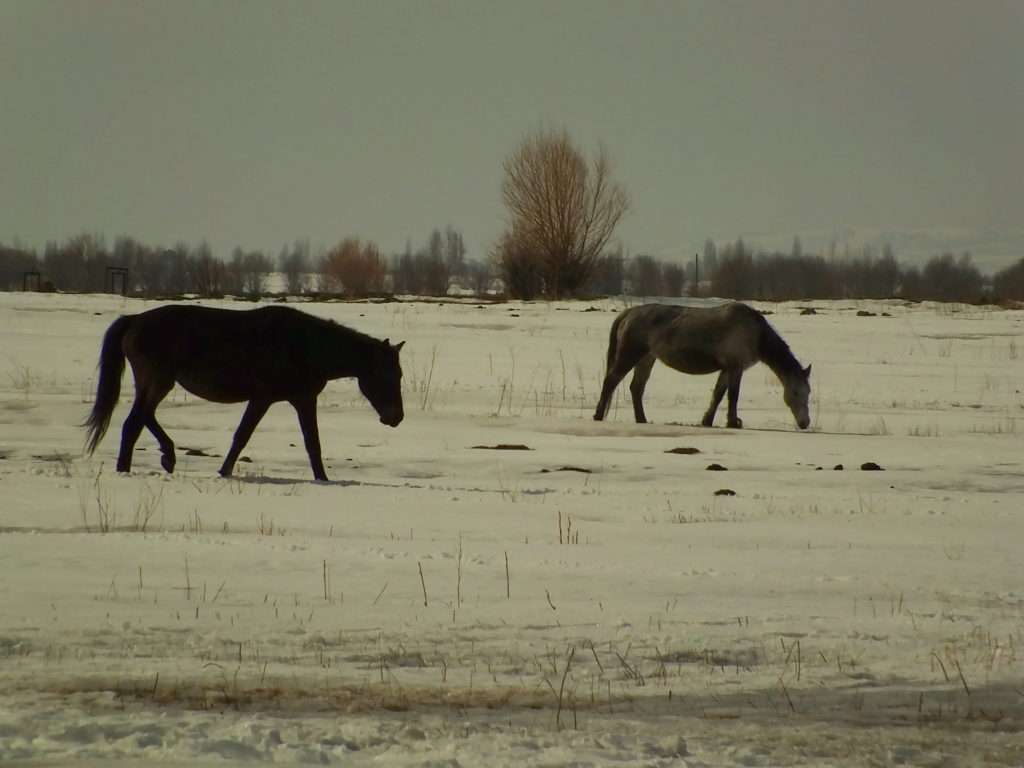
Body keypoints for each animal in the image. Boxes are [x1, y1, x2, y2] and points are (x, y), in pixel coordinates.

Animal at [84, 305, 403, 481]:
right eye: (388, 375)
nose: (396, 417)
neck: (307, 346)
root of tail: (134, 319)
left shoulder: (302, 400)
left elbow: (312, 443)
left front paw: (322, 479)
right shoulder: (262, 398)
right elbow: (242, 436)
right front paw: (224, 472)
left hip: (156, 383)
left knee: (140, 418)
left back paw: (160, 458)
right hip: (158, 382)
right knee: (135, 421)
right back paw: (140, 464)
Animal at [598, 303, 811, 434]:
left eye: (808, 392)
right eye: (796, 392)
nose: (805, 423)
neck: (756, 334)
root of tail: (628, 313)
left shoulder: (726, 369)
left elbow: (718, 394)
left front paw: (707, 420)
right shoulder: (735, 367)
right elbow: (733, 395)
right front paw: (733, 422)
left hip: (646, 359)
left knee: (636, 388)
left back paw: (641, 419)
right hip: (630, 355)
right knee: (610, 381)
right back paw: (599, 415)